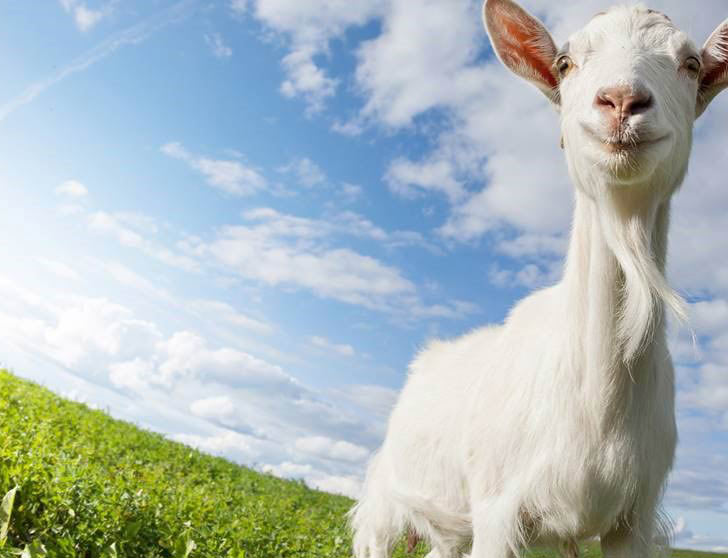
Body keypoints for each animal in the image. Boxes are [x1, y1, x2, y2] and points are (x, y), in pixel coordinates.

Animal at [350, 2, 728, 557]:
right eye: (566, 62)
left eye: (692, 64)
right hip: (383, 501)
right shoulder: (496, 510)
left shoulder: (633, 520)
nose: (621, 101)